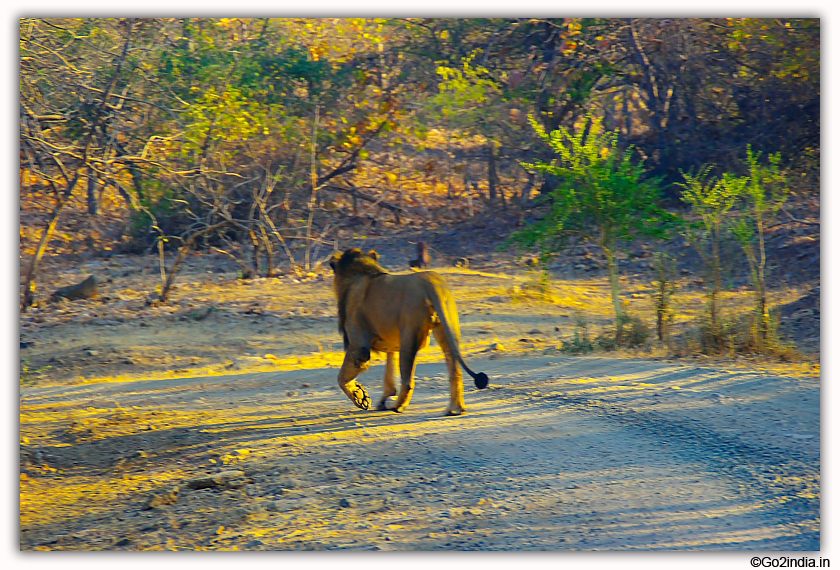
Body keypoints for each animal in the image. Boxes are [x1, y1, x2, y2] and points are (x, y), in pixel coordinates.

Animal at [326, 246, 488, 414]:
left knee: (408, 381)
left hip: (409, 335)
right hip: (447, 330)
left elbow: (341, 378)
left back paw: (397, 406)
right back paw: (455, 408)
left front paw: (360, 397)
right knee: (455, 370)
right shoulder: (391, 344)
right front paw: (380, 400)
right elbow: (389, 375)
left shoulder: (359, 347)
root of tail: (430, 280)